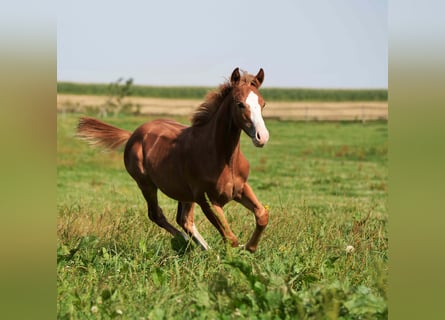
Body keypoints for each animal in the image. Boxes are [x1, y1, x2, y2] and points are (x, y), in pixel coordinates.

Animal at [76, 68, 268, 252]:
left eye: (263, 104)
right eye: (240, 104)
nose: (262, 137)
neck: (224, 159)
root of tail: (133, 135)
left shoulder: (241, 188)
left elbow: (262, 215)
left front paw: (250, 247)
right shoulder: (206, 199)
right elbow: (230, 238)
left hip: (184, 193)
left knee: (184, 219)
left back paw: (203, 249)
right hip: (146, 184)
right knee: (157, 215)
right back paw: (187, 243)